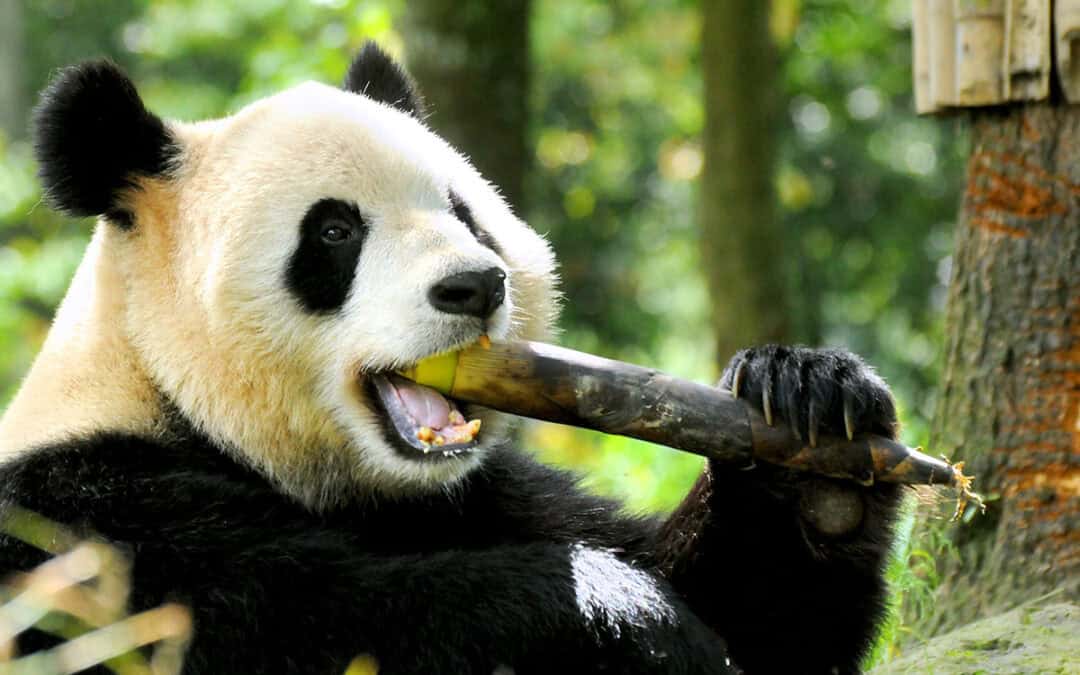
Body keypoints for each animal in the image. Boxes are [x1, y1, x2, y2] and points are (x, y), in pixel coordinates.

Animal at [0, 43, 902, 674]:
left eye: (465, 213)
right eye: (334, 231)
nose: (475, 285)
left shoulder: (486, 493)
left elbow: (766, 625)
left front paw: (814, 419)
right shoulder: (83, 516)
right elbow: (267, 623)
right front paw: (616, 611)